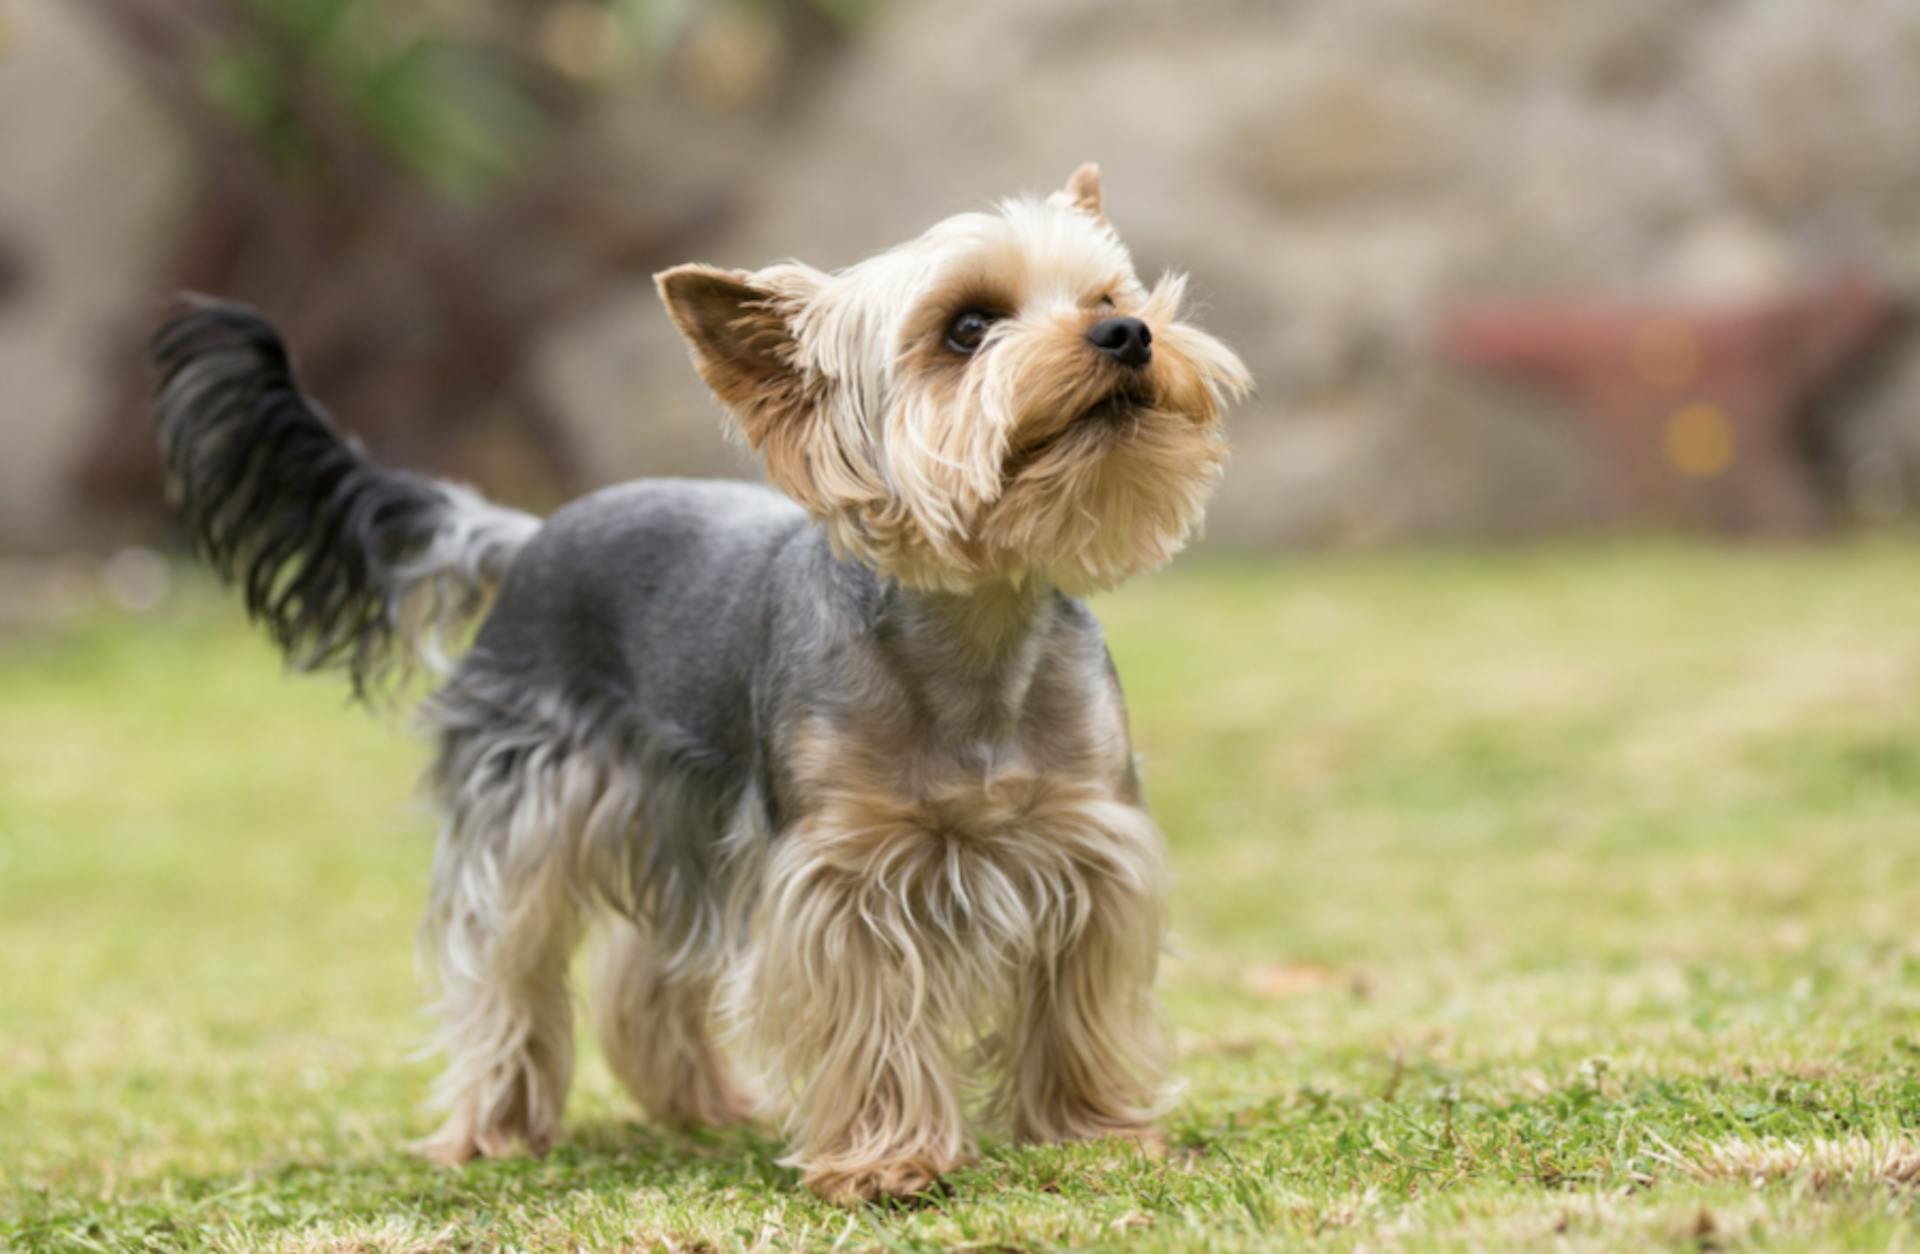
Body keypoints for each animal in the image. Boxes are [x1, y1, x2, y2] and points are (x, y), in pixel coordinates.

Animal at [157, 166, 1251, 1205]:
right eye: (968, 328)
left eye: (1107, 293)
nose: (1128, 332)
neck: (978, 624)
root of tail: (530, 532)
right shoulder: (840, 873)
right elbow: (870, 1017)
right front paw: (886, 1162)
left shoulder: (1085, 843)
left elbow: (1075, 1003)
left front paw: (1090, 1133)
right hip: (531, 811)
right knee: (507, 969)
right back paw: (494, 1127)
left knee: (644, 968)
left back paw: (698, 1104)